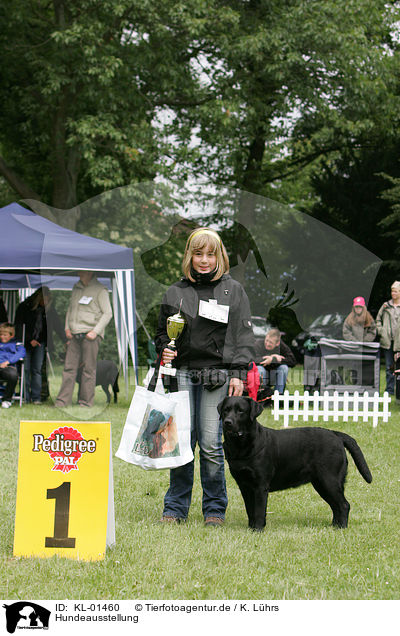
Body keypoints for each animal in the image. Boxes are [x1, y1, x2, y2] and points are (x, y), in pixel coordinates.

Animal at [219, 398, 372, 532]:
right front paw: (251, 529)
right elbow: (250, 510)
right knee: (336, 506)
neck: (241, 447)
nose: (227, 422)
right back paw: (334, 526)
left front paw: (257, 530)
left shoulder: (260, 486)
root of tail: (335, 434)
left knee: (344, 505)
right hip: (321, 484)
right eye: (226, 410)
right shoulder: (244, 485)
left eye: (241, 411)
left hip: (329, 480)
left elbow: (259, 511)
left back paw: (341, 528)